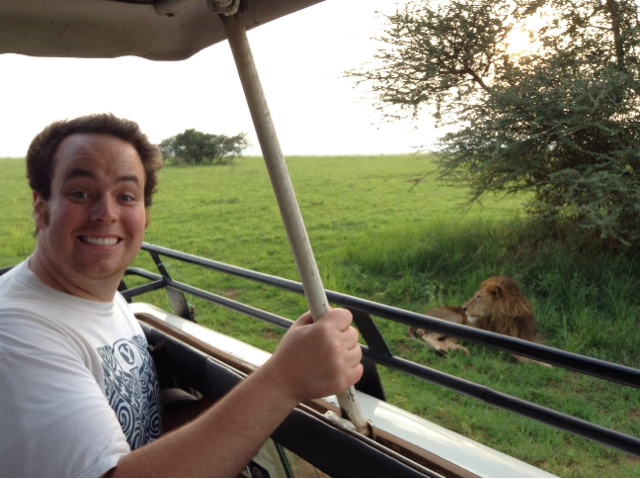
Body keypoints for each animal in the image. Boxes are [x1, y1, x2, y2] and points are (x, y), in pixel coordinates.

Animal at [409, 276, 549, 366]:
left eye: (478, 297)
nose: (464, 307)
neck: (510, 317)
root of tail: (423, 314)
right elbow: (525, 358)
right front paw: (548, 366)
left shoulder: (530, 337)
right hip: (455, 318)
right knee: (427, 335)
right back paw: (442, 348)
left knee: (447, 341)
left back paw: (459, 349)